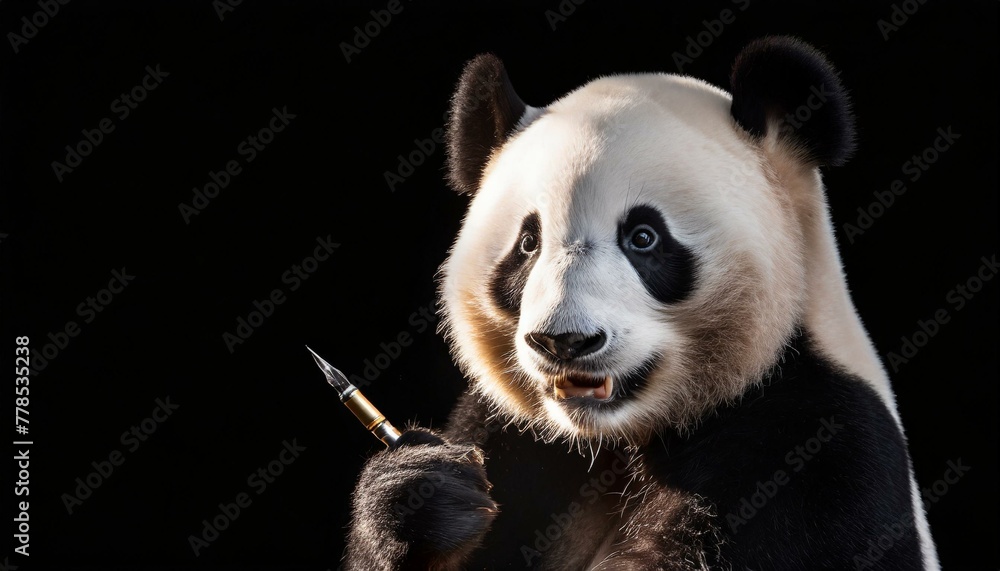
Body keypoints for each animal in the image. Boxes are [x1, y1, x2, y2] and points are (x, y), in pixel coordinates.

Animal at [344, 36, 940, 570]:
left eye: (644, 238)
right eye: (528, 244)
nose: (565, 341)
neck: (620, 438)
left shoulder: (818, 450)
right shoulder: (514, 438)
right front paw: (418, 497)